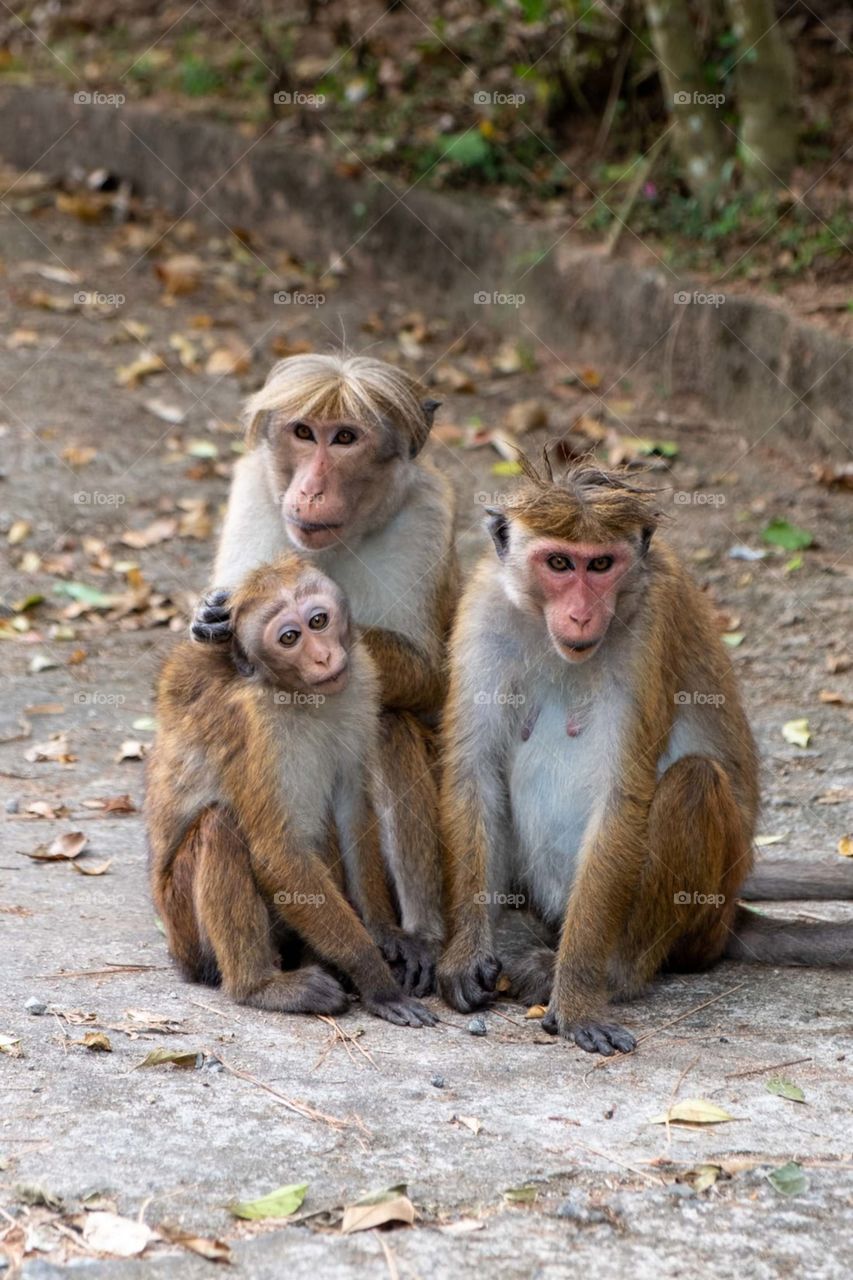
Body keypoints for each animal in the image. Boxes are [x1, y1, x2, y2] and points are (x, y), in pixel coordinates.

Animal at [147, 553, 437, 1026]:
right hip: (183, 923)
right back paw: (260, 986)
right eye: (289, 638)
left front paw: (383, 932)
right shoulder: (254, 730)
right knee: (222, 827)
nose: (322, 657)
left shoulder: (361, 685)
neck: (298, 696)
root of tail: (175, 951)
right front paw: (375, 978)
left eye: (318, 620)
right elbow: (276, 853)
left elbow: (350, 809)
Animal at [189, 354, 457, 979]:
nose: (309, 488)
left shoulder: (426, 517)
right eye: (305, 433)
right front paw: (213, 619)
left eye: (346, 438)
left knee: (388, 720)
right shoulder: (256, 495)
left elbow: (429, 675)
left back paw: (417, 936)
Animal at [437, 456, 852, 1056]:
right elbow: (473, 772)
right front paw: (465, 956)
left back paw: (612, 971)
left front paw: (579, 997)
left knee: (694, 781)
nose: (583, 615)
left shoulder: (650, 627)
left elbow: (622, 796)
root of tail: (732, 913)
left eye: (601, 565)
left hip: (705, 921)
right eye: (559, 563)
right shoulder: (483, 609)